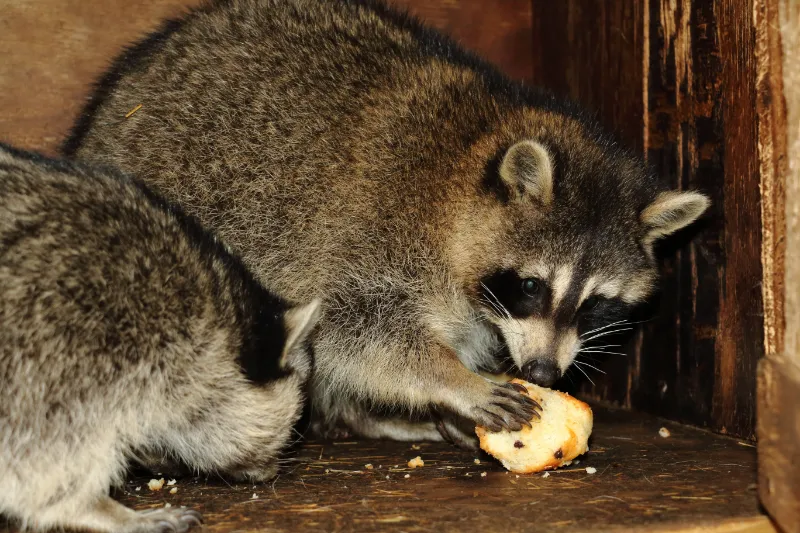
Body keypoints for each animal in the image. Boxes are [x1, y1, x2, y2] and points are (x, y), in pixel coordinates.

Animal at [65, 0, 708, 446]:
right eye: (531, 285)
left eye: (596, 303)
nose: (543, 371)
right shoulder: (374, 233)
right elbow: (356, 332)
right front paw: (454, 379)